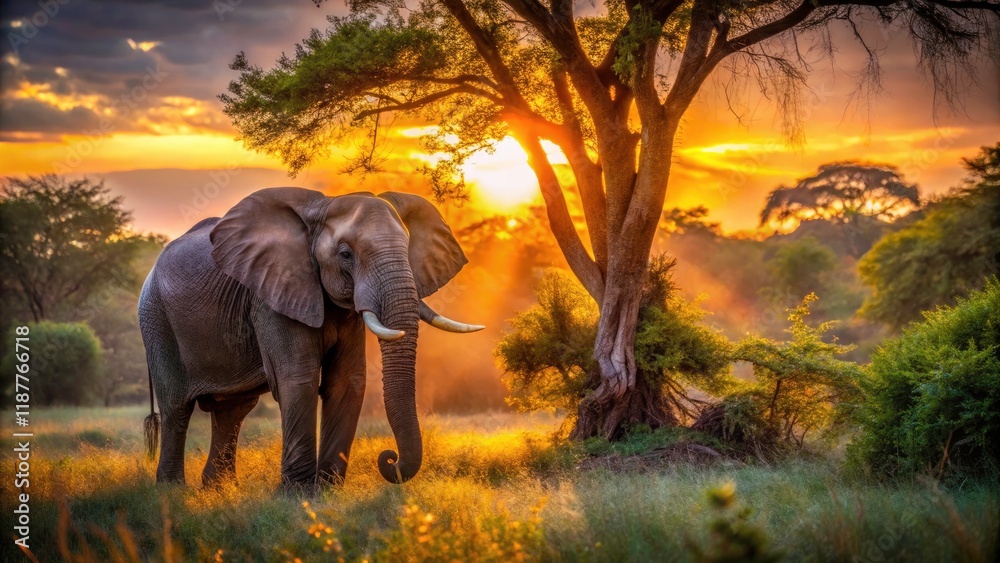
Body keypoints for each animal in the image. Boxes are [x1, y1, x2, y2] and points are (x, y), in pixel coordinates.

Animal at [138, 187, 482, 489]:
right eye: (345, 254)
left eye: (408, 248)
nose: (388, 458)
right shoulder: (272, 295)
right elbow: (298, 379)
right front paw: (298, 495)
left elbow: (347, 381)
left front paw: (328, 490)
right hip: (156, 319)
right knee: (177, 408)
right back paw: (173, 491)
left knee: (232, 410)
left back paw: (219, 491)